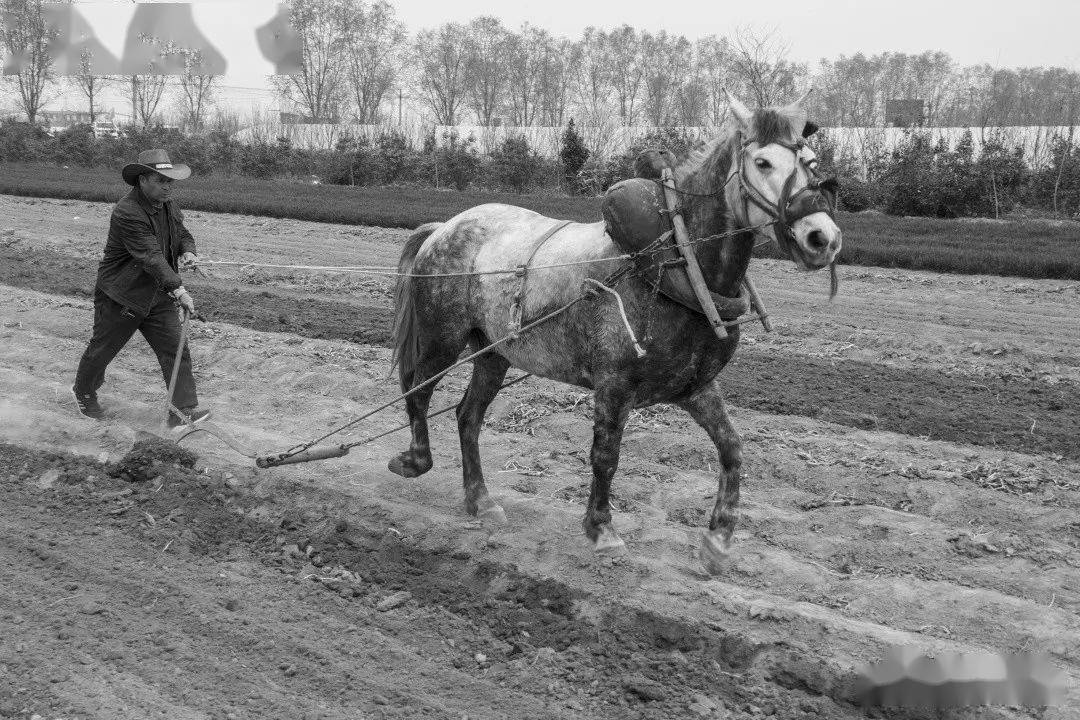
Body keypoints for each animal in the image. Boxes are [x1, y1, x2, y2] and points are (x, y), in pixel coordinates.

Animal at [388, 90, 842, 565]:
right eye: (763, 163)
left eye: (811, 161)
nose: (822, 238)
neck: (677, 261)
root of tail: (445, 226)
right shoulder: (614, 383)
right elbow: (606, 455)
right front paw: (601, 527)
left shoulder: (695, 387)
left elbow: (732, 449)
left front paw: (718, 539)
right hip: (442, 337)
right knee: (418, 391)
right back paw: (415, 460)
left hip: (493, 353)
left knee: (468, 416)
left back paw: (480, 499)